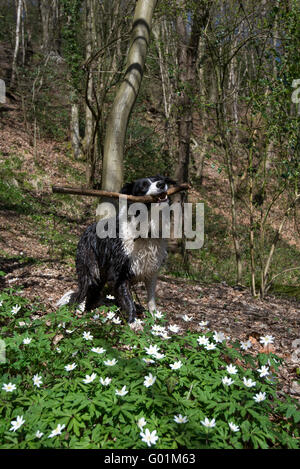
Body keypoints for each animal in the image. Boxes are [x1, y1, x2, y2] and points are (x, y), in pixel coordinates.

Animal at [56, 175, 176, 322]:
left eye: (157, 179)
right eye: (143, 186)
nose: (161, 184)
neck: (145, 231)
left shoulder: (151, 273)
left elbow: (151, 302)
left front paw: (154, 320)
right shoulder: (119, 275)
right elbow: (129, 303)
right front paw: (134, 323)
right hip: (91, 270)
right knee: (82, 294)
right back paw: (79, 313)